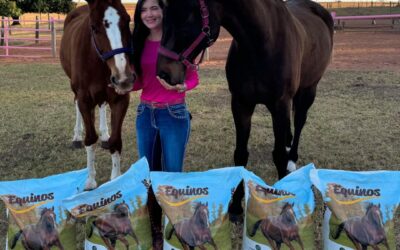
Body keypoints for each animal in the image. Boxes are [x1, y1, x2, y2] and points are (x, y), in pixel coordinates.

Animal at [59, 0, 134, 189]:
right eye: (94, 27)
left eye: (127, 19)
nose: (124, 78)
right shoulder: (84, 100)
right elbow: (91, 139)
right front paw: (90, 180)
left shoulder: (120, 100)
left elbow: (116, 140)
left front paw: (116, 180)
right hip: (75, 89)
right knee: (76, 104)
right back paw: (76, 137)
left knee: (101, 105)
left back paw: (104, 134)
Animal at [156, 0, 334, 219]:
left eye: (186, 16)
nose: (163, 73)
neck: (261, 42)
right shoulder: (241, 104)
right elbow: (240, 154)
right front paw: (235, 207)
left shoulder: (280, 104)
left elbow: (278, 156)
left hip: (309, 90)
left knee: (300, 121)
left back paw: (292, 159)